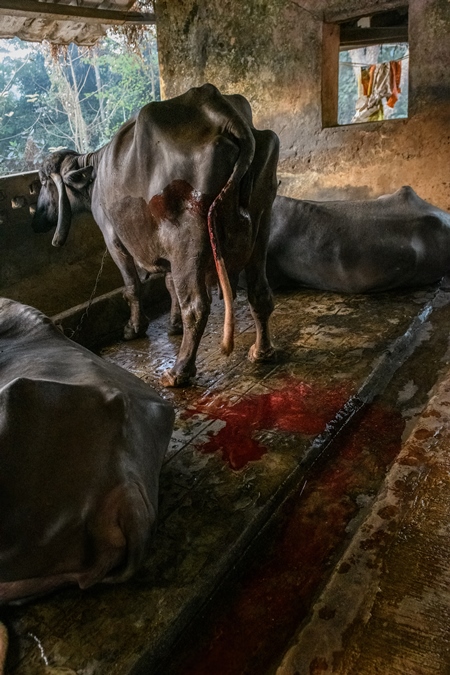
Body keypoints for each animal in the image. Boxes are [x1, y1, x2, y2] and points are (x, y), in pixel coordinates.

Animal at [32, 84, 278, 386]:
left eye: (44, 182)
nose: (36, 219)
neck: (94, 176)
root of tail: (220, 111)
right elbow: (170, 285)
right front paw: (172, 325)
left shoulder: (114, 240)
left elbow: (132, 287)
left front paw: (134, 328)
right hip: (261, 226)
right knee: (260, 292)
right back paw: (261, 351)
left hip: (188, 241)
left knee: (196, 306)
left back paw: (178, 371)